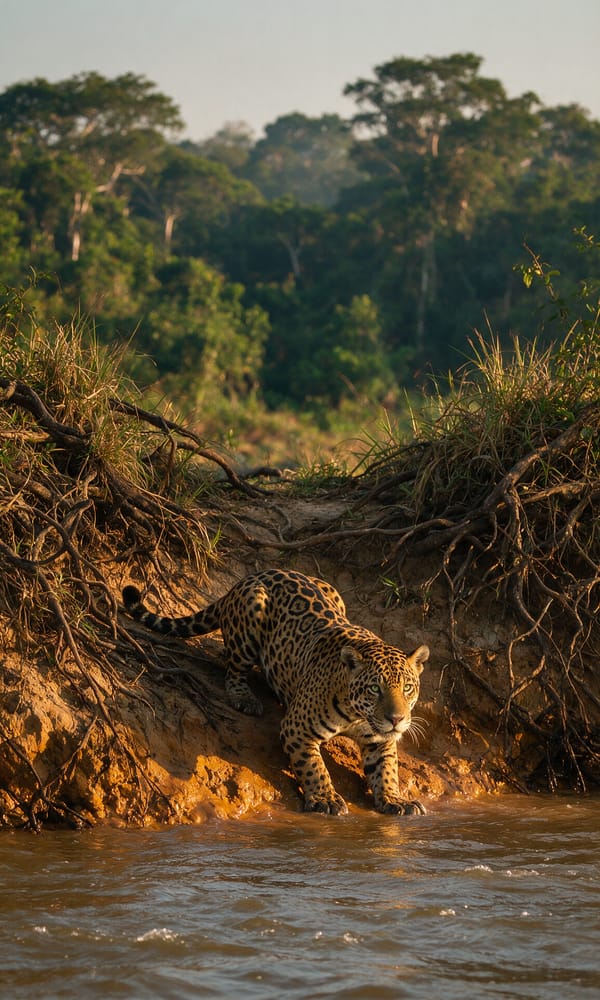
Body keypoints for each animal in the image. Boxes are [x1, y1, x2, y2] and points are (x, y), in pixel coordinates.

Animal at [122, 569, 429, 816]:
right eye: (375, 688)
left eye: (407, 688)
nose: (396, 720)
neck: (356, 715)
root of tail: (251, 576)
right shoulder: (297, 729)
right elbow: (314, 767)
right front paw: (325, 799)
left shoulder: (381, 741)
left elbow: (387, 771)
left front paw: (395, 800)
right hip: (250, 617)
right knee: (232, 667)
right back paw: (244, 698)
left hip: (333, 592)